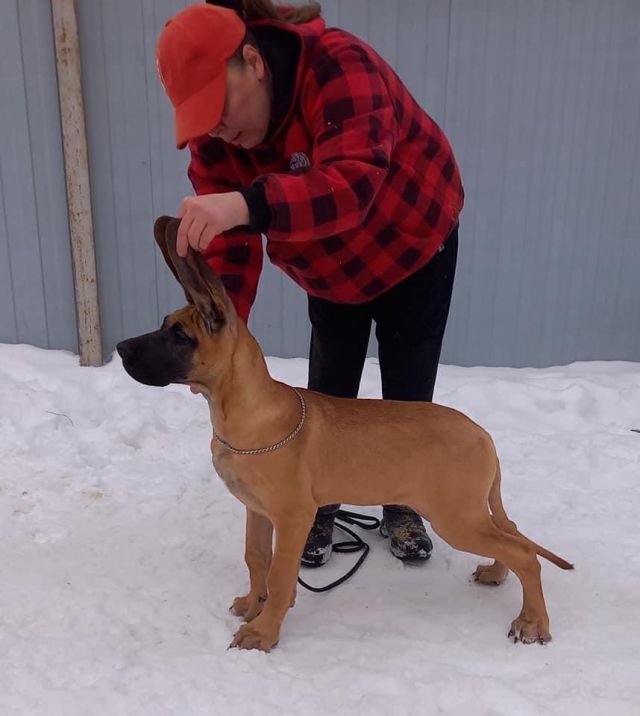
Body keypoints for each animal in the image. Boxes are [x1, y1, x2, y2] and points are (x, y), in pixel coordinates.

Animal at [117, 216, 573, 652]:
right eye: (165, 325)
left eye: (180, 335)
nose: (120, 348)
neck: (242, 410)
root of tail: (483, 434)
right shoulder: (257, 511)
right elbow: (256, 558)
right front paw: (253, 604)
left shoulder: (293, 516)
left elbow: (280, 574)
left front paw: (264, 633)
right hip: (469, 512)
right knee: (512, 532)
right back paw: (497, 575)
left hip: (455, 517)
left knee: (525, 553)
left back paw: (533, 623)